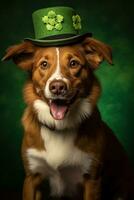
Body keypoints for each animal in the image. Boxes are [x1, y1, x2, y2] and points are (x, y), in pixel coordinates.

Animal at [2, 36, 134, 199]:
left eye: (73, 63)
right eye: (44, 64)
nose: (57, 87)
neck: (60, 127)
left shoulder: (92, 179)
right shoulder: (31, 177)